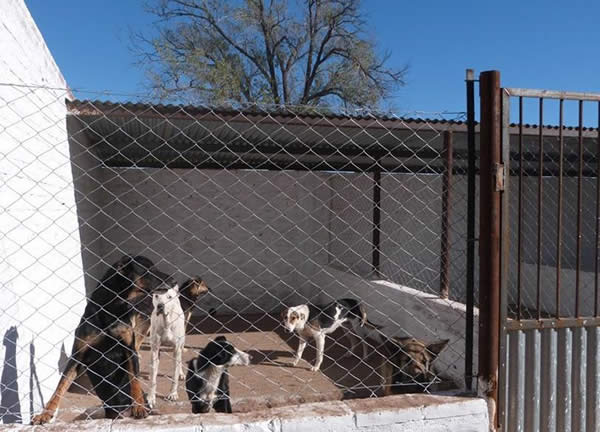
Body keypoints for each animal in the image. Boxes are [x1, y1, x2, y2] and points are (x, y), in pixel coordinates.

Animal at [31, 255, 173, 424]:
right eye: (148, 270)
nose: (173, 279)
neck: (112, 308)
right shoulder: (78, 355)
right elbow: (61, 385)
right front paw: (45, 414)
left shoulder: (130, 350)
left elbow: (134, 380)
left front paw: (138, 407)